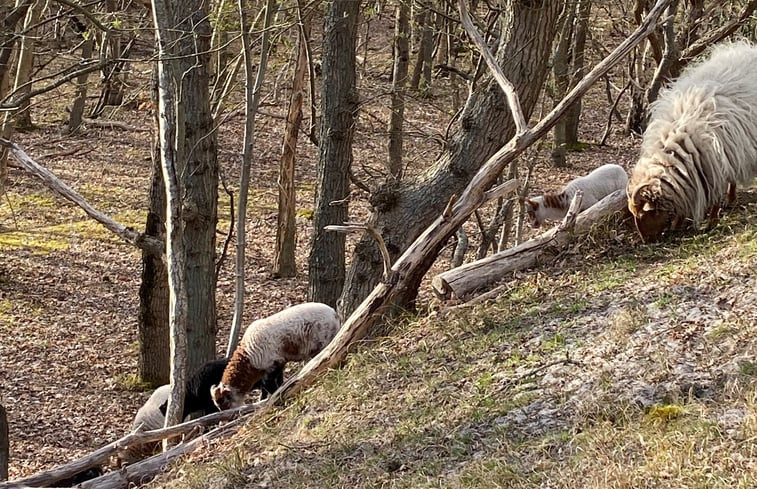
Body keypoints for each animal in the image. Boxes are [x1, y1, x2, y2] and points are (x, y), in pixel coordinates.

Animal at [210, 302, 340, 408]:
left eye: (224, 403)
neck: (248, 358)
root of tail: (334, 314)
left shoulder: (271, 366)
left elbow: (271, 388)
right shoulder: (278, 364)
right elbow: (276, 384)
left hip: (324, 342)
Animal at [628, 41, 756, 240]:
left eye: (643, 214)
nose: (645, 240)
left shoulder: (713, 165)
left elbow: (714, 198)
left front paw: (711, 223)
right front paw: (677, 224)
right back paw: (730, 199)